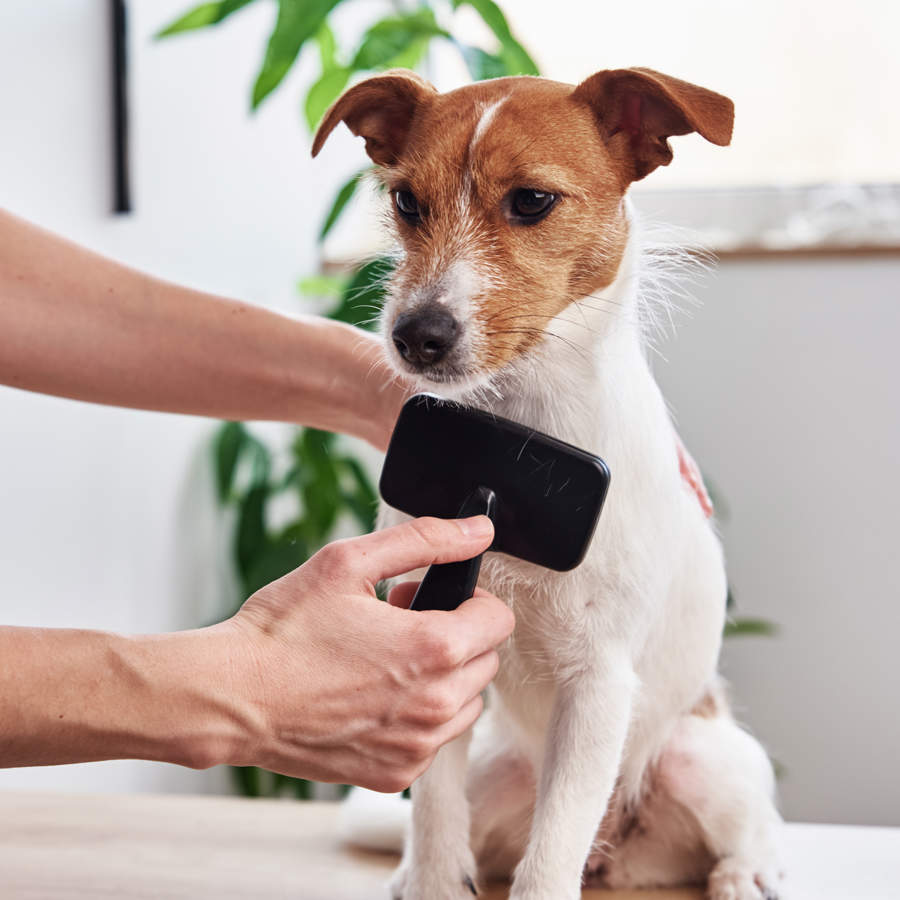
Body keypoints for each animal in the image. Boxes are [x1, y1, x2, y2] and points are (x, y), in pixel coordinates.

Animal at [312, 68, 784, 900]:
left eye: (531, 200)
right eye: (407, 201)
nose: (415, 336)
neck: (518, 434)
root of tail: (620, 853)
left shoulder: (598, 681)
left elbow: (550, 856)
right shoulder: (436, 650)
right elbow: (432, 813)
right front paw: (430, 878)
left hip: (705, 760)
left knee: (750, 825)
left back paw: (747, 871)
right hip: (495, 771)